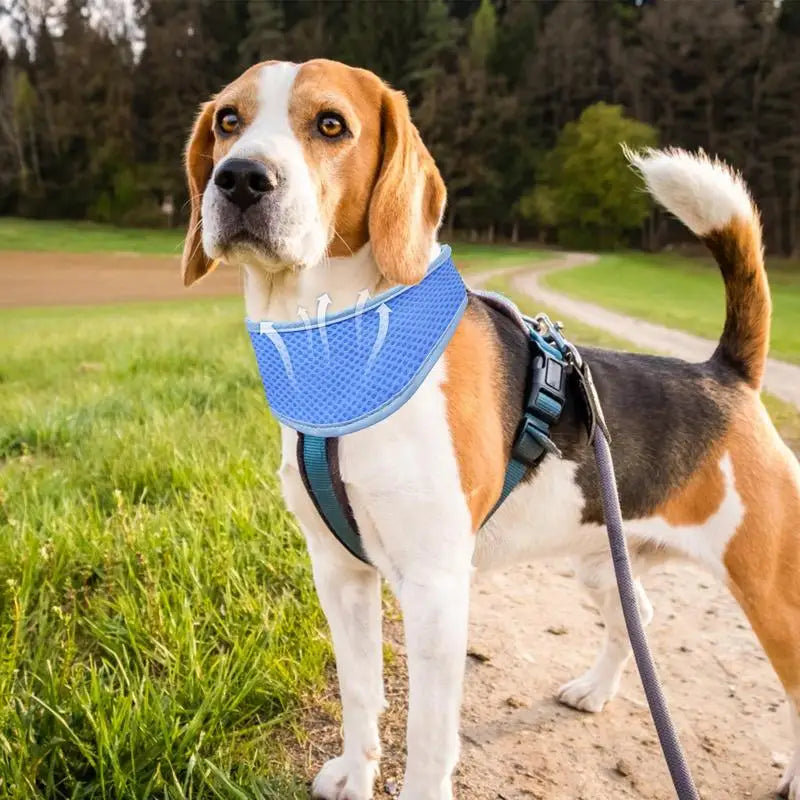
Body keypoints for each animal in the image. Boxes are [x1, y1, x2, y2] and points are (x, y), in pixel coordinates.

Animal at [181, 59, 800, 796]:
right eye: (229, 120)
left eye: (331, 125)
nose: (241, 177)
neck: (341, 350)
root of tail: (726, 373)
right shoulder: (338, 571)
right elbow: (359, 692)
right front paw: (354, 773)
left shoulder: (435, 587)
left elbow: (427, 738)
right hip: (605, 558)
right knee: (638, 618)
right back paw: (595, 690)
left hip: (772, 590)